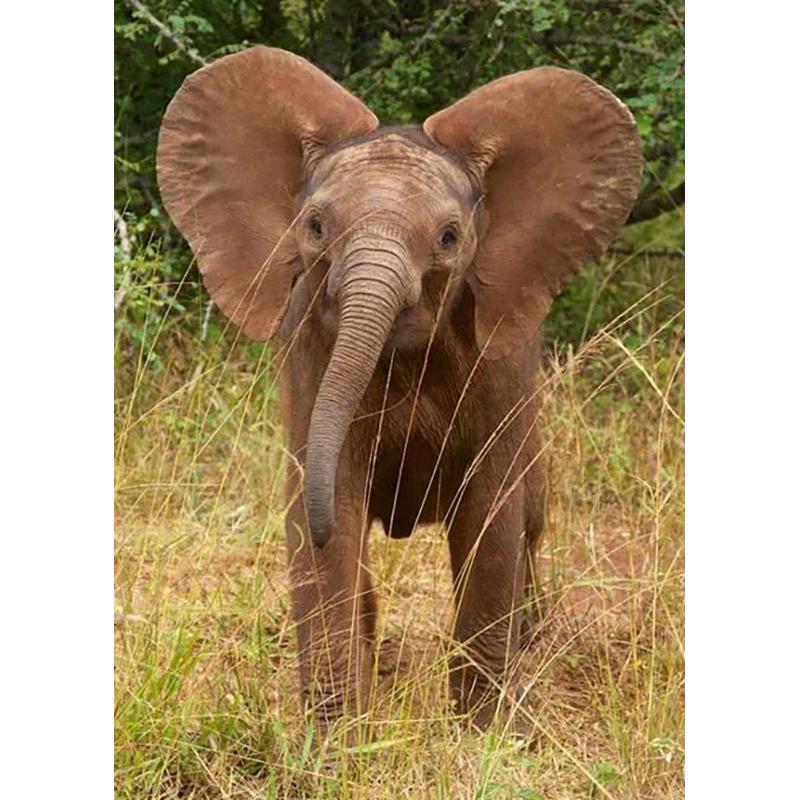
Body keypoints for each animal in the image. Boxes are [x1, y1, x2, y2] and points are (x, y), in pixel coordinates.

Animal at [156, 46, 642, 731]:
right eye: (314, 226)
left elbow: (491, 519)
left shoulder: (501, 369)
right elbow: (331, 508)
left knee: (532, 525)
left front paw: (480, 735)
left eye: (448, 239)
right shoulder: (311, 350)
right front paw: (338, 738)